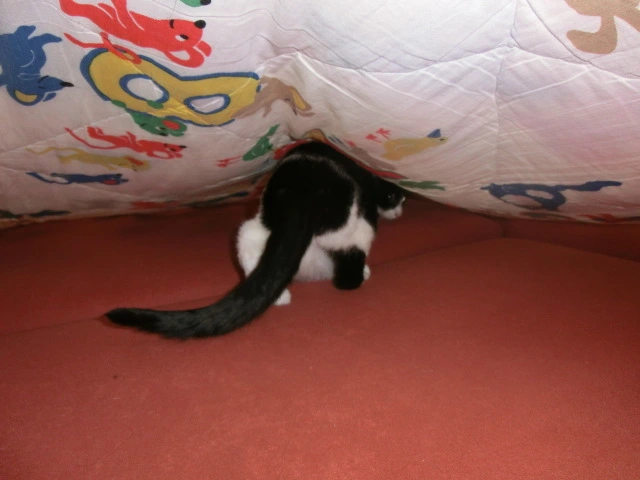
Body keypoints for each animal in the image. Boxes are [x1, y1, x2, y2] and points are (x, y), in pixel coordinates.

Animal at [106, 141, 406, 338]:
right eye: (395, 196)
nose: (401, 211)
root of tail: (301, 190)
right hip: (349, 221)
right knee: (349, 262)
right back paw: (360, 273)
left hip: (260, 225)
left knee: (247, 241)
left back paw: (280, 297)